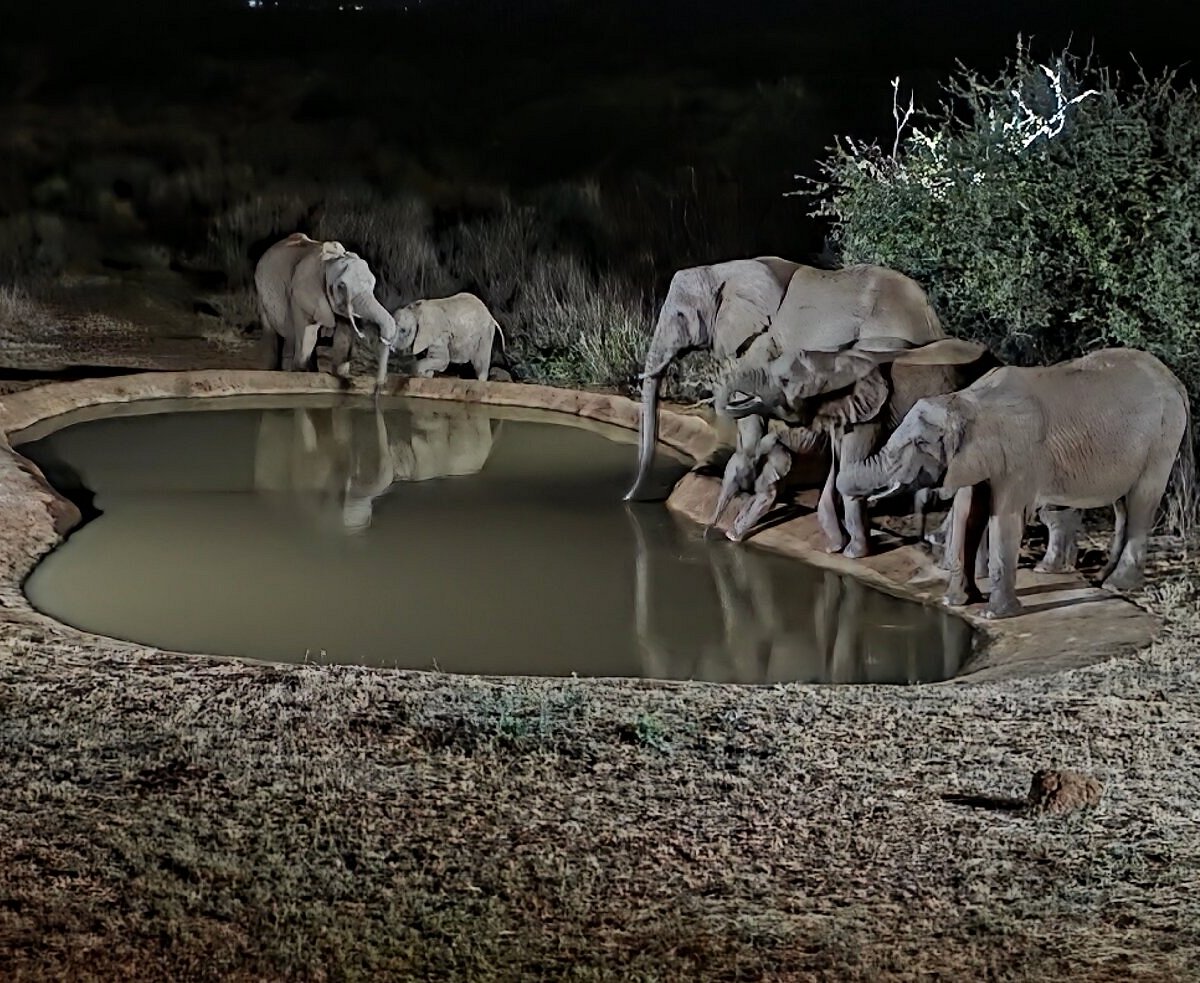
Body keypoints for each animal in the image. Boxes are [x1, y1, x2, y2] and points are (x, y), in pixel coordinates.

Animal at [254, 233, 410, 383]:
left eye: (372, 285)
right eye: (341, 286)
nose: (379, 385)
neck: (330, 261)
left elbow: (344, 336)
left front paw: (341, 375)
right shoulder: (303, 295)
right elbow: (308, 334)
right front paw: (302, 371)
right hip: (261, 292)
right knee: (272, 331)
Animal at [716, 337, 999, 554]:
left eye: (784, 381)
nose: (715, 532)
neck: (833, 360)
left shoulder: (870, 416)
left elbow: (848, 468)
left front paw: (854, 554)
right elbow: (838, 470)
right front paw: (835, 548)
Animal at [835, 348, 1191, 618]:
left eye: (920, 444)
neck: (966, 402)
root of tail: (1177, 383)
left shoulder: (1019, 455)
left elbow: (1003, 518)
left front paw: (994, 614)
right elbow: (968, 513)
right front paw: (956, 602)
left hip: (1163, 439)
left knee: (1141, 503)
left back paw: (1117, 585)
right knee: (1122, 507)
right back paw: (1102, 580)